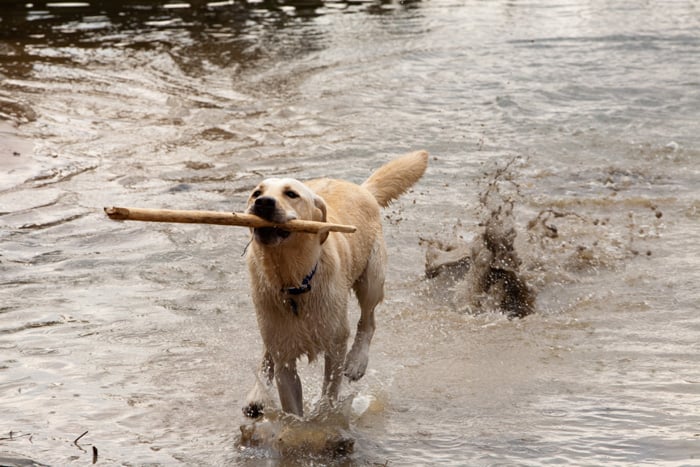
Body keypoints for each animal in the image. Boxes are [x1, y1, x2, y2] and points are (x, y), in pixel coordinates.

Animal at [242, 152, 426, 418]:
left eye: (291, 194)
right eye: (256, 192)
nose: (263, 202)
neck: (294, 282)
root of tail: (363, 189)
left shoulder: (335, 345)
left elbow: (330, 391)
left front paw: (325, 416)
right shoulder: (284, 358)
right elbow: (291, 403)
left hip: (372, 278)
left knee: (368, 321)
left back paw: (358, 361)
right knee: (267, 352)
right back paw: (257, 396)